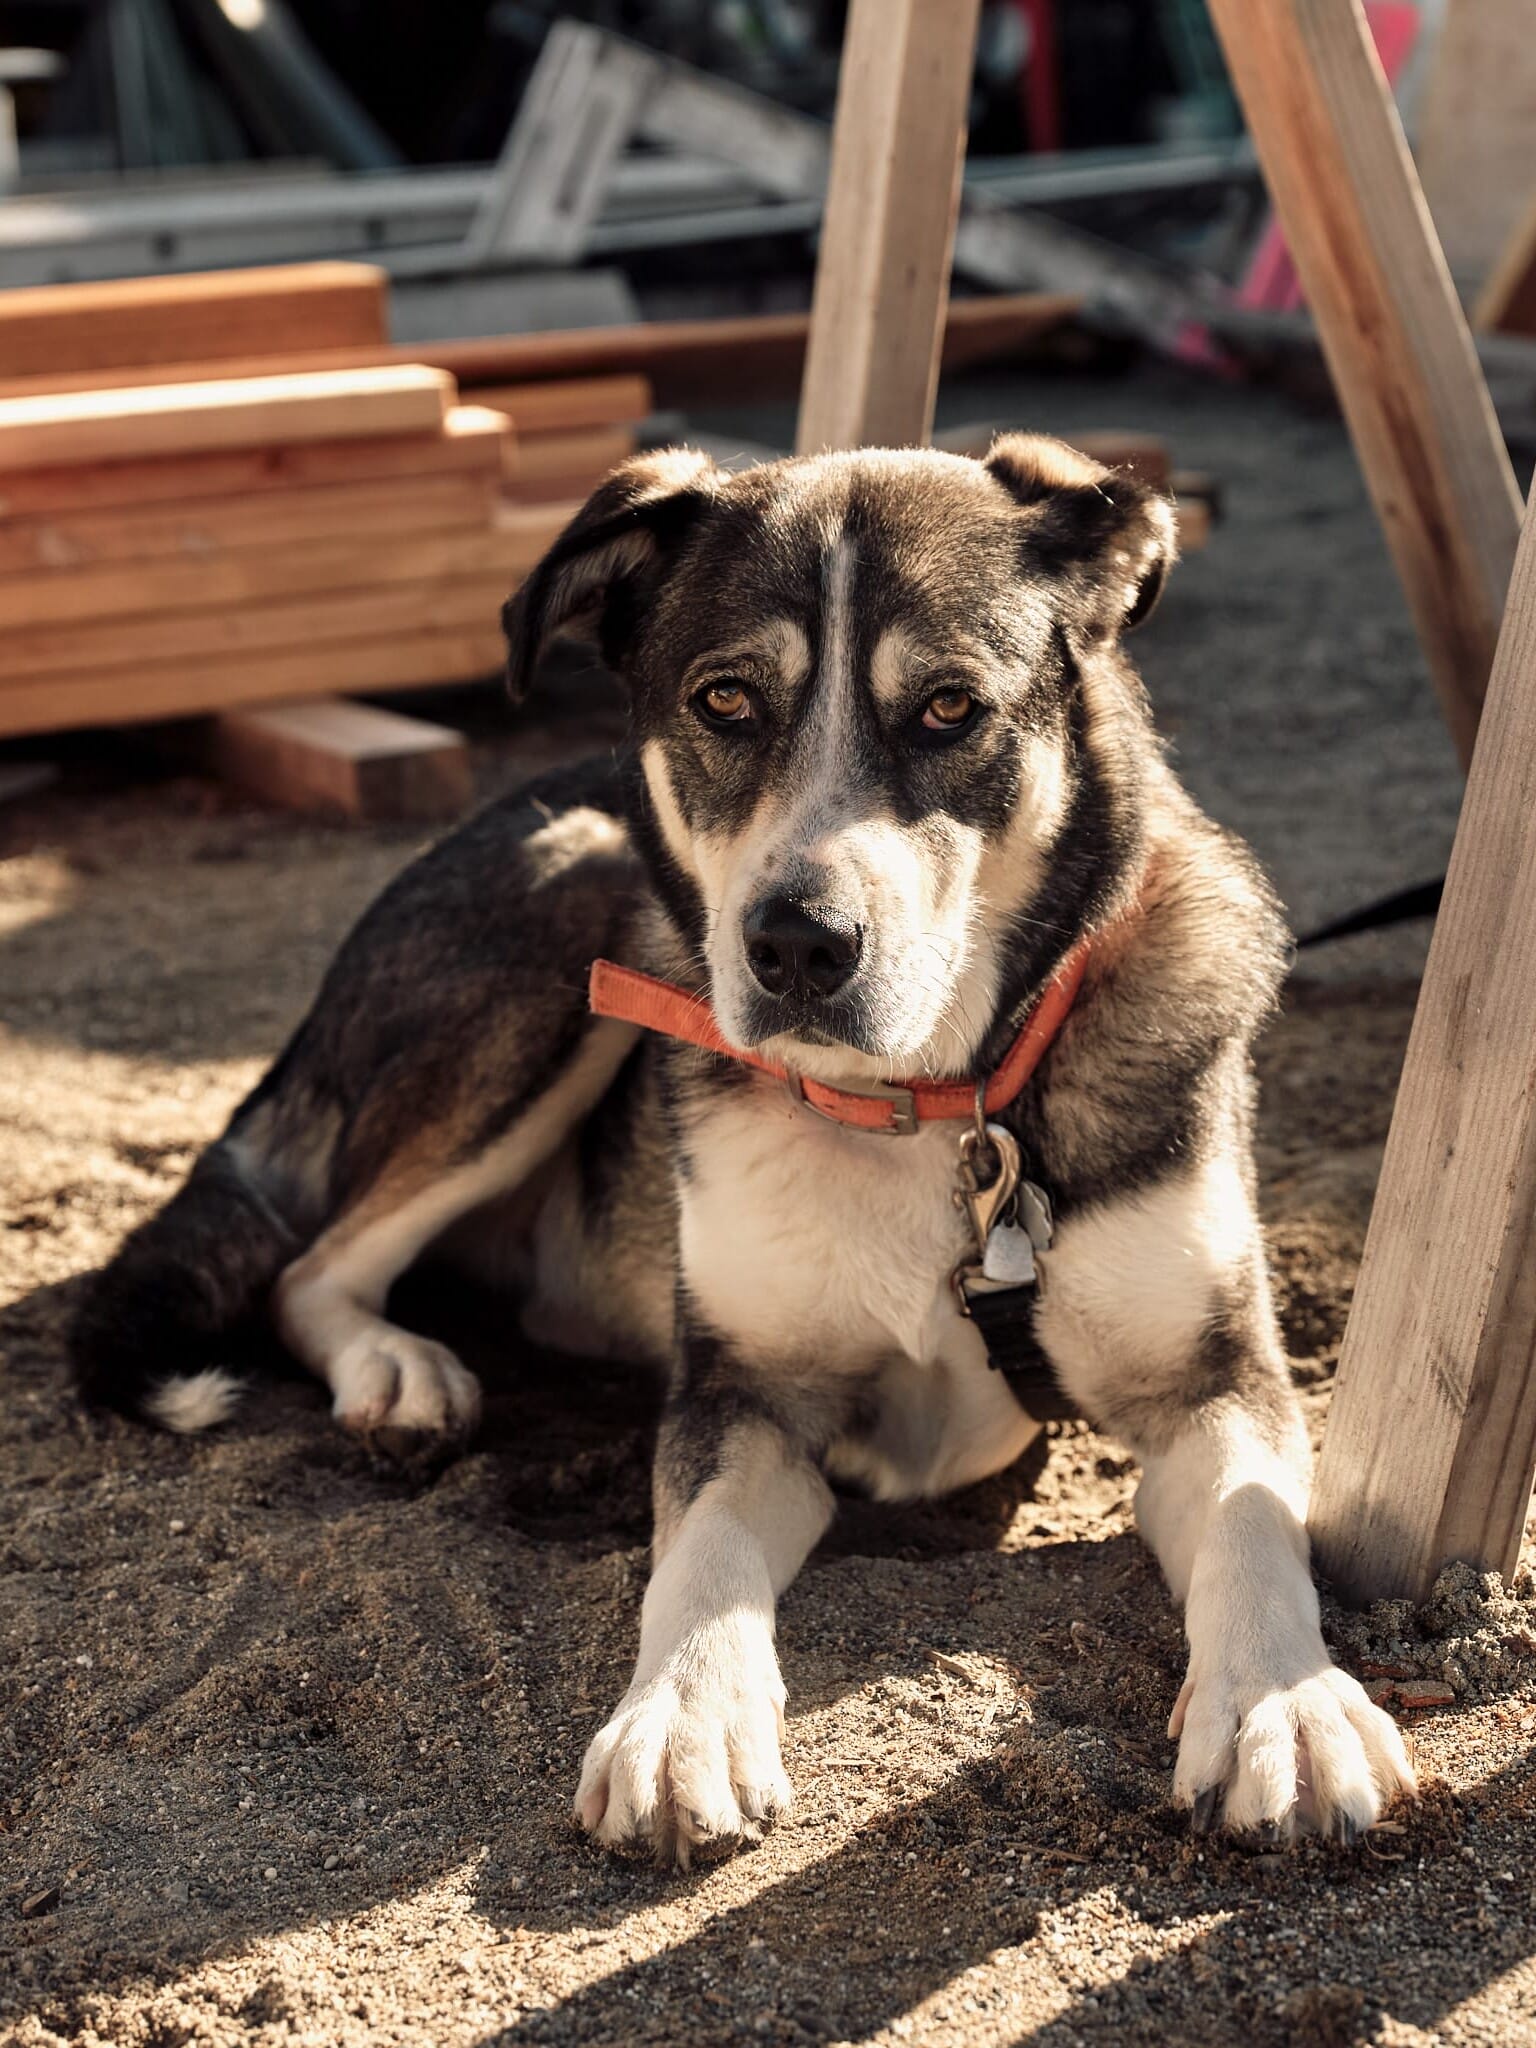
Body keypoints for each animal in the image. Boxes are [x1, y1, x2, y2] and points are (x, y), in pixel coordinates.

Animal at [72, 440, 1417, 1867]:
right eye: (724, 697)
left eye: (949, 708)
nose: (796, 945)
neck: (918, 1106)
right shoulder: (741, 1389)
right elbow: (702, 1550)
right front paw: (683, 1718)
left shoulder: (1216, 1376)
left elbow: (1253, 1520)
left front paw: (1288, 1707)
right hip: (575, 903)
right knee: (309, 1266)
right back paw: (396, 1367)